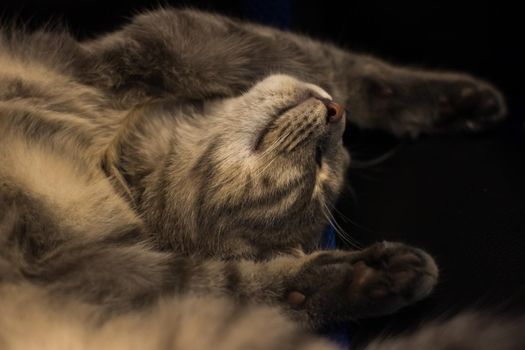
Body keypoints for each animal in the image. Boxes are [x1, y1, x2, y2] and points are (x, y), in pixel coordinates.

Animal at [0, 6, 520, 350]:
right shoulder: (172, 40)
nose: (337, 115)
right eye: (319, 167)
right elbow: (323, 61)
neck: (109, 151)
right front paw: (456, 99)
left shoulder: (89, 271)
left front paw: (370, 280)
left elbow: (242, 287)